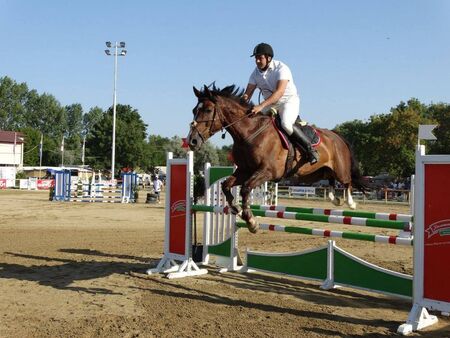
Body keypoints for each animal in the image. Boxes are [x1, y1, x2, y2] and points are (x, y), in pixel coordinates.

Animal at [188, 84, 368, 232]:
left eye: (208, 110)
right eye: (194, 110)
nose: (192, 141)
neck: (249, 133)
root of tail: (337, 136)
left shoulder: (267, 172)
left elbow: (245, 189)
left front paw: (251, 221)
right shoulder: (245, 171)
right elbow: (226, 185)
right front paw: (237, 210)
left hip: (339, 169)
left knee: (347, 181)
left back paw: (351, 203)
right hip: (317, 173)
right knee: (331, 181)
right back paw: (335, 199)